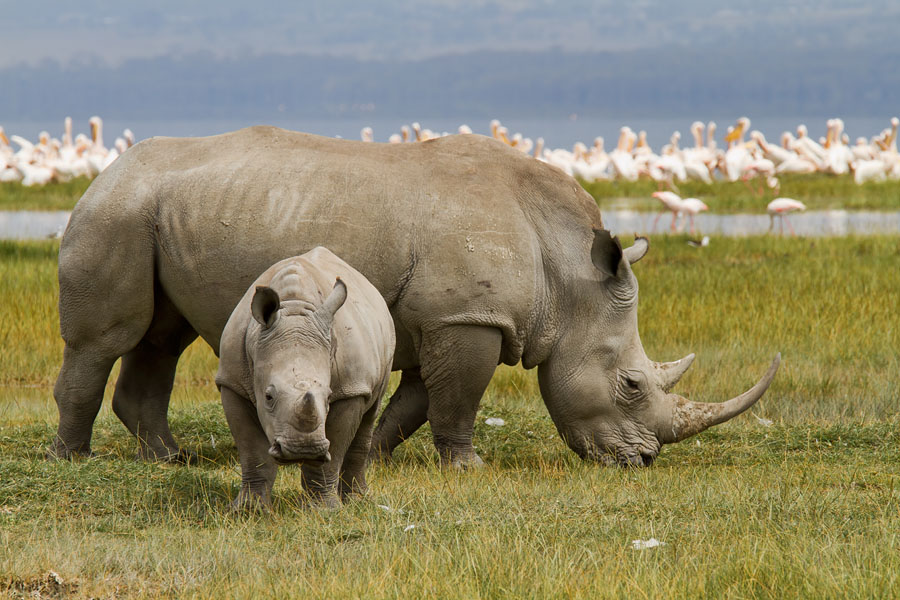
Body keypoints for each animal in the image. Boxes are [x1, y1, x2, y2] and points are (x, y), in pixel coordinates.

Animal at [50, 127, 780, 468]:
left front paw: (371, 456)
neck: (569, 277)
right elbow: (459, 401)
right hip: (116, 211)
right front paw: (470, 467)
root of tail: (106, 171)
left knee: (161, 337)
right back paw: (76, 459)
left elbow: (418, 401)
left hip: (155, 213)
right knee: (109, 339)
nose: (643, 460)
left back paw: (168, 457)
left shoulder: (448, 317)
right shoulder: (470, 317)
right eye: (630, 384)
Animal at [216, 248, 395, 509]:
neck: (294, 308)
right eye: (268, 397)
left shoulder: (350, 390)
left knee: (369, 414)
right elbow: (252, 451)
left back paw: (357, 501)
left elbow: (332, 454)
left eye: (329, 397)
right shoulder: (233, 383)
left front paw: (324, 510)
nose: (304, 449)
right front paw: (249, 510)